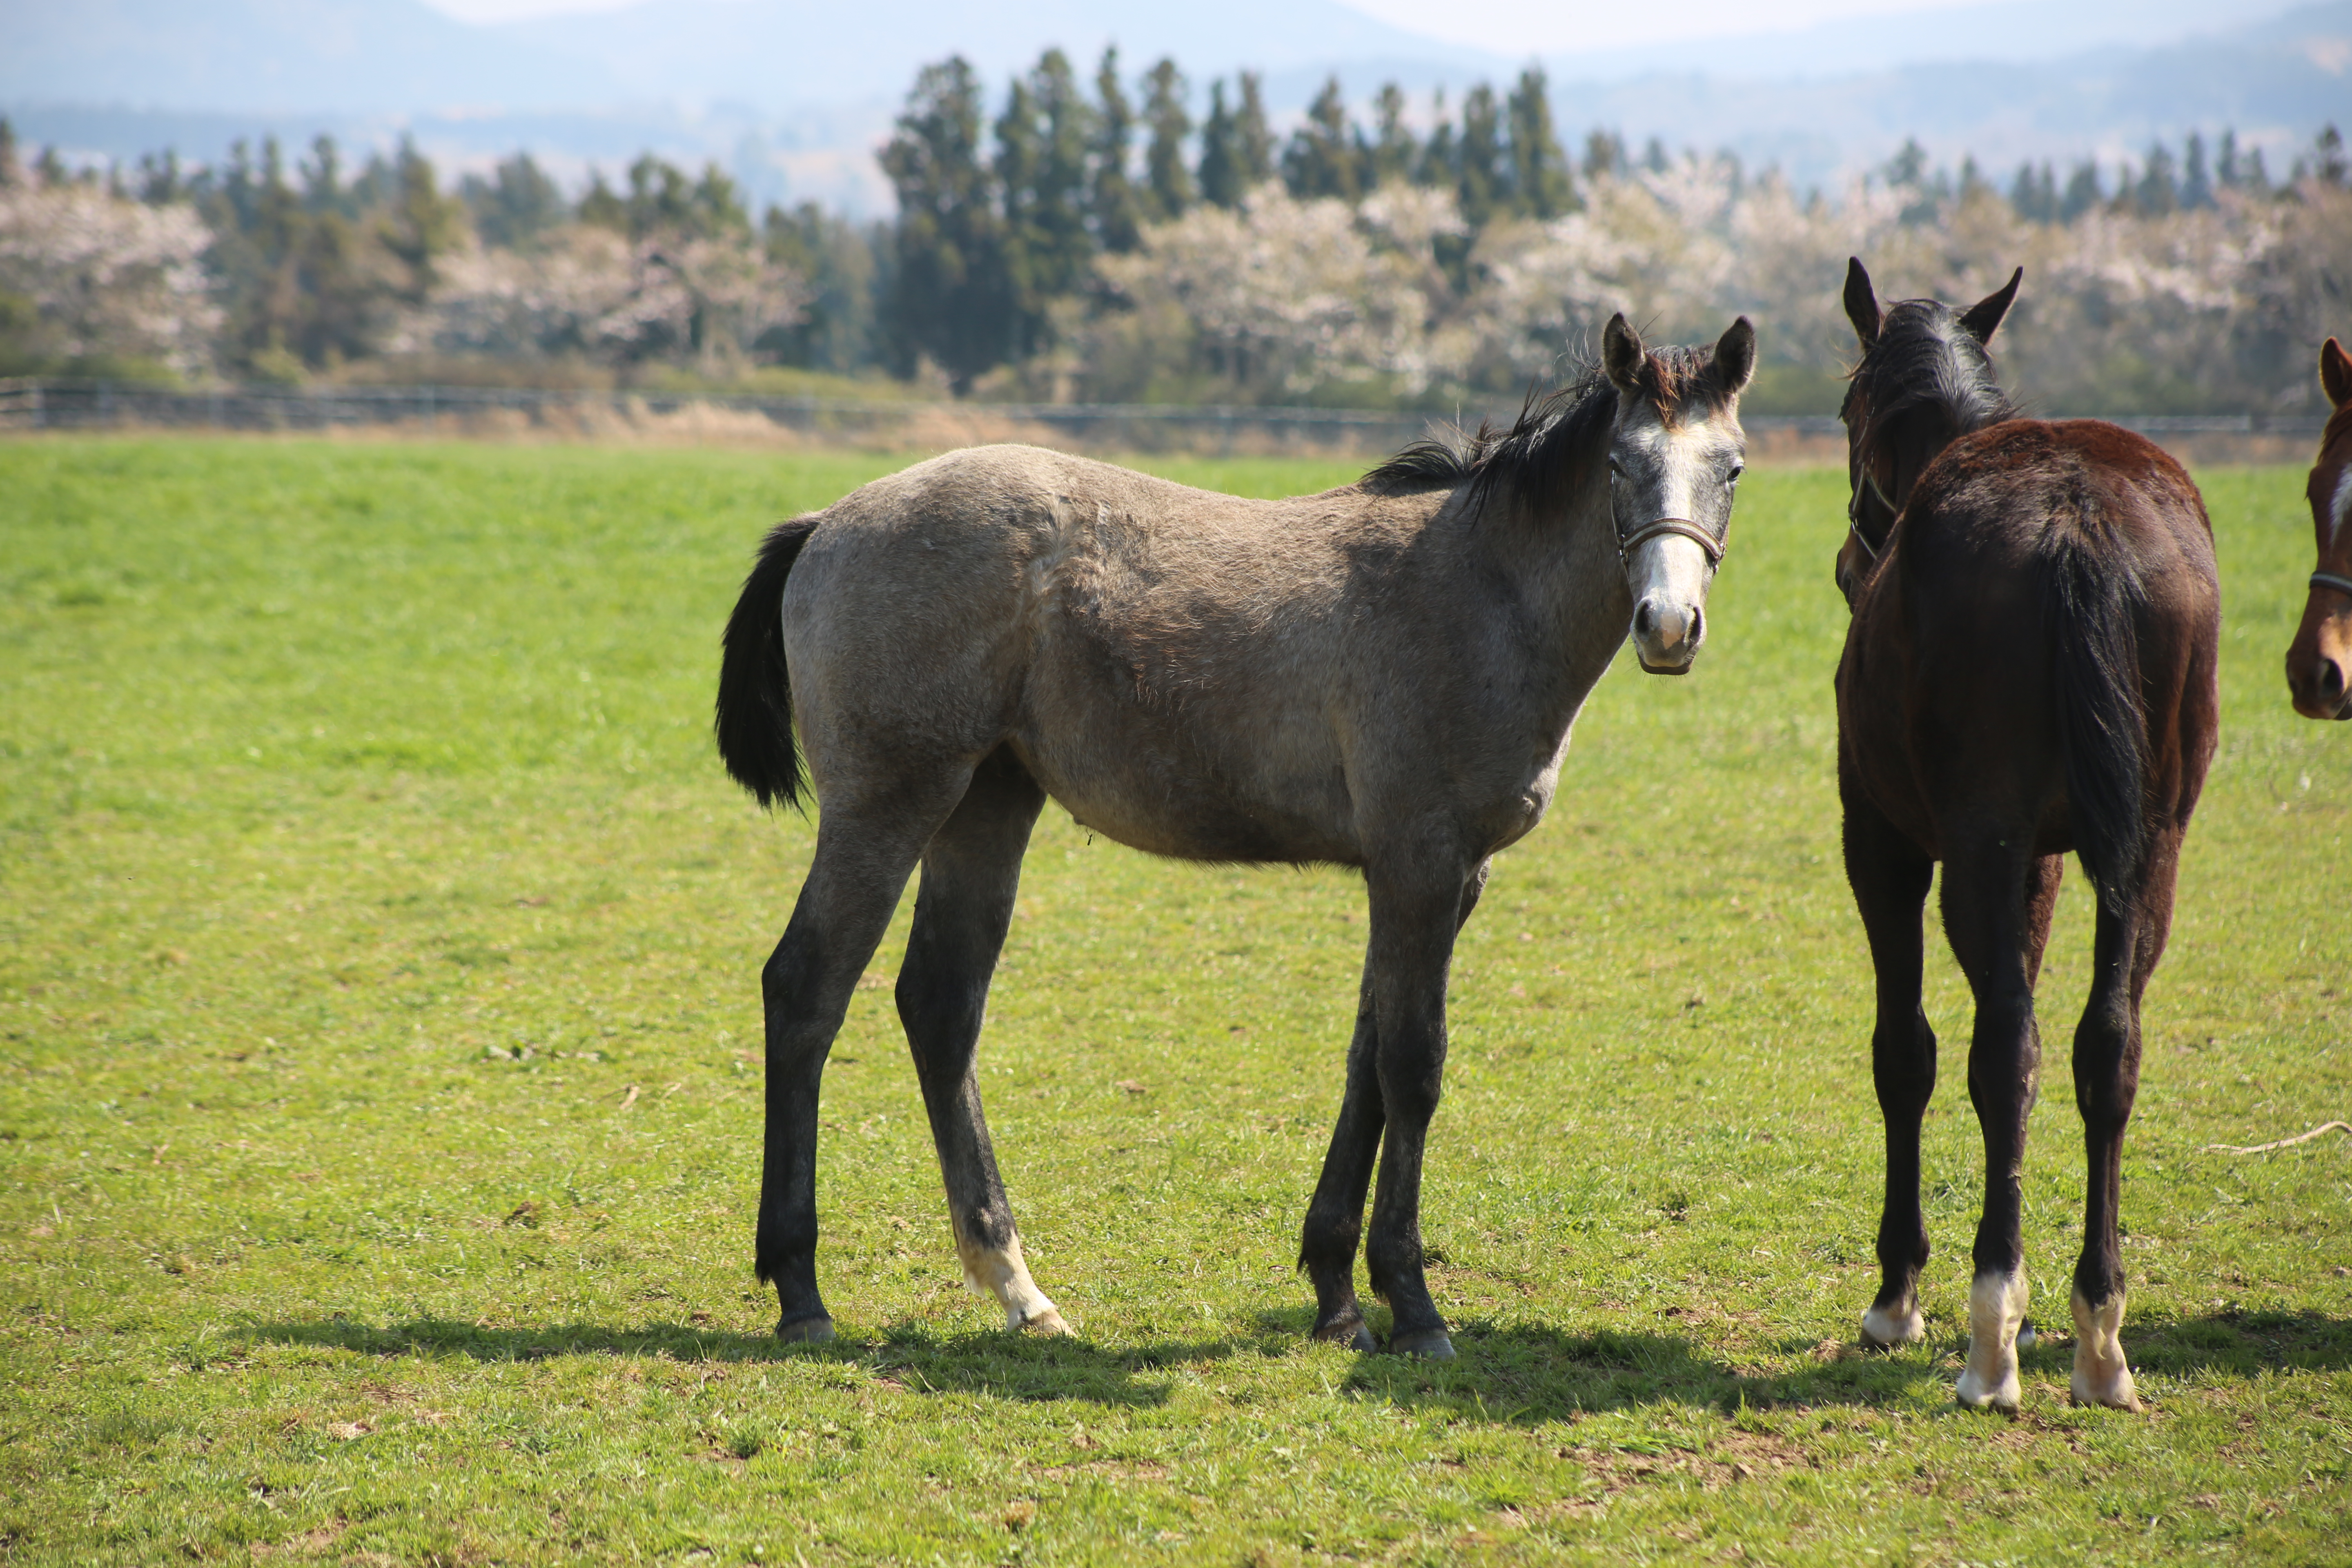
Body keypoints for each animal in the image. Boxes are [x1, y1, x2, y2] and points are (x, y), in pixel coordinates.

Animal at [1834, 257, 2220, 1410]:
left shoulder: (1882, 845)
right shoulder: (2048, 865)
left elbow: (1906, 1052)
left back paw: (1990, 1327)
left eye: (1846, 407)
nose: (1849, 558)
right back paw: (2098, 1330)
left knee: (2002, 1047)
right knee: (2107, 1045)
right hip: (2148, 848)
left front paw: (1897, 1290)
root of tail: (2078, 519)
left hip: (1978, 848)